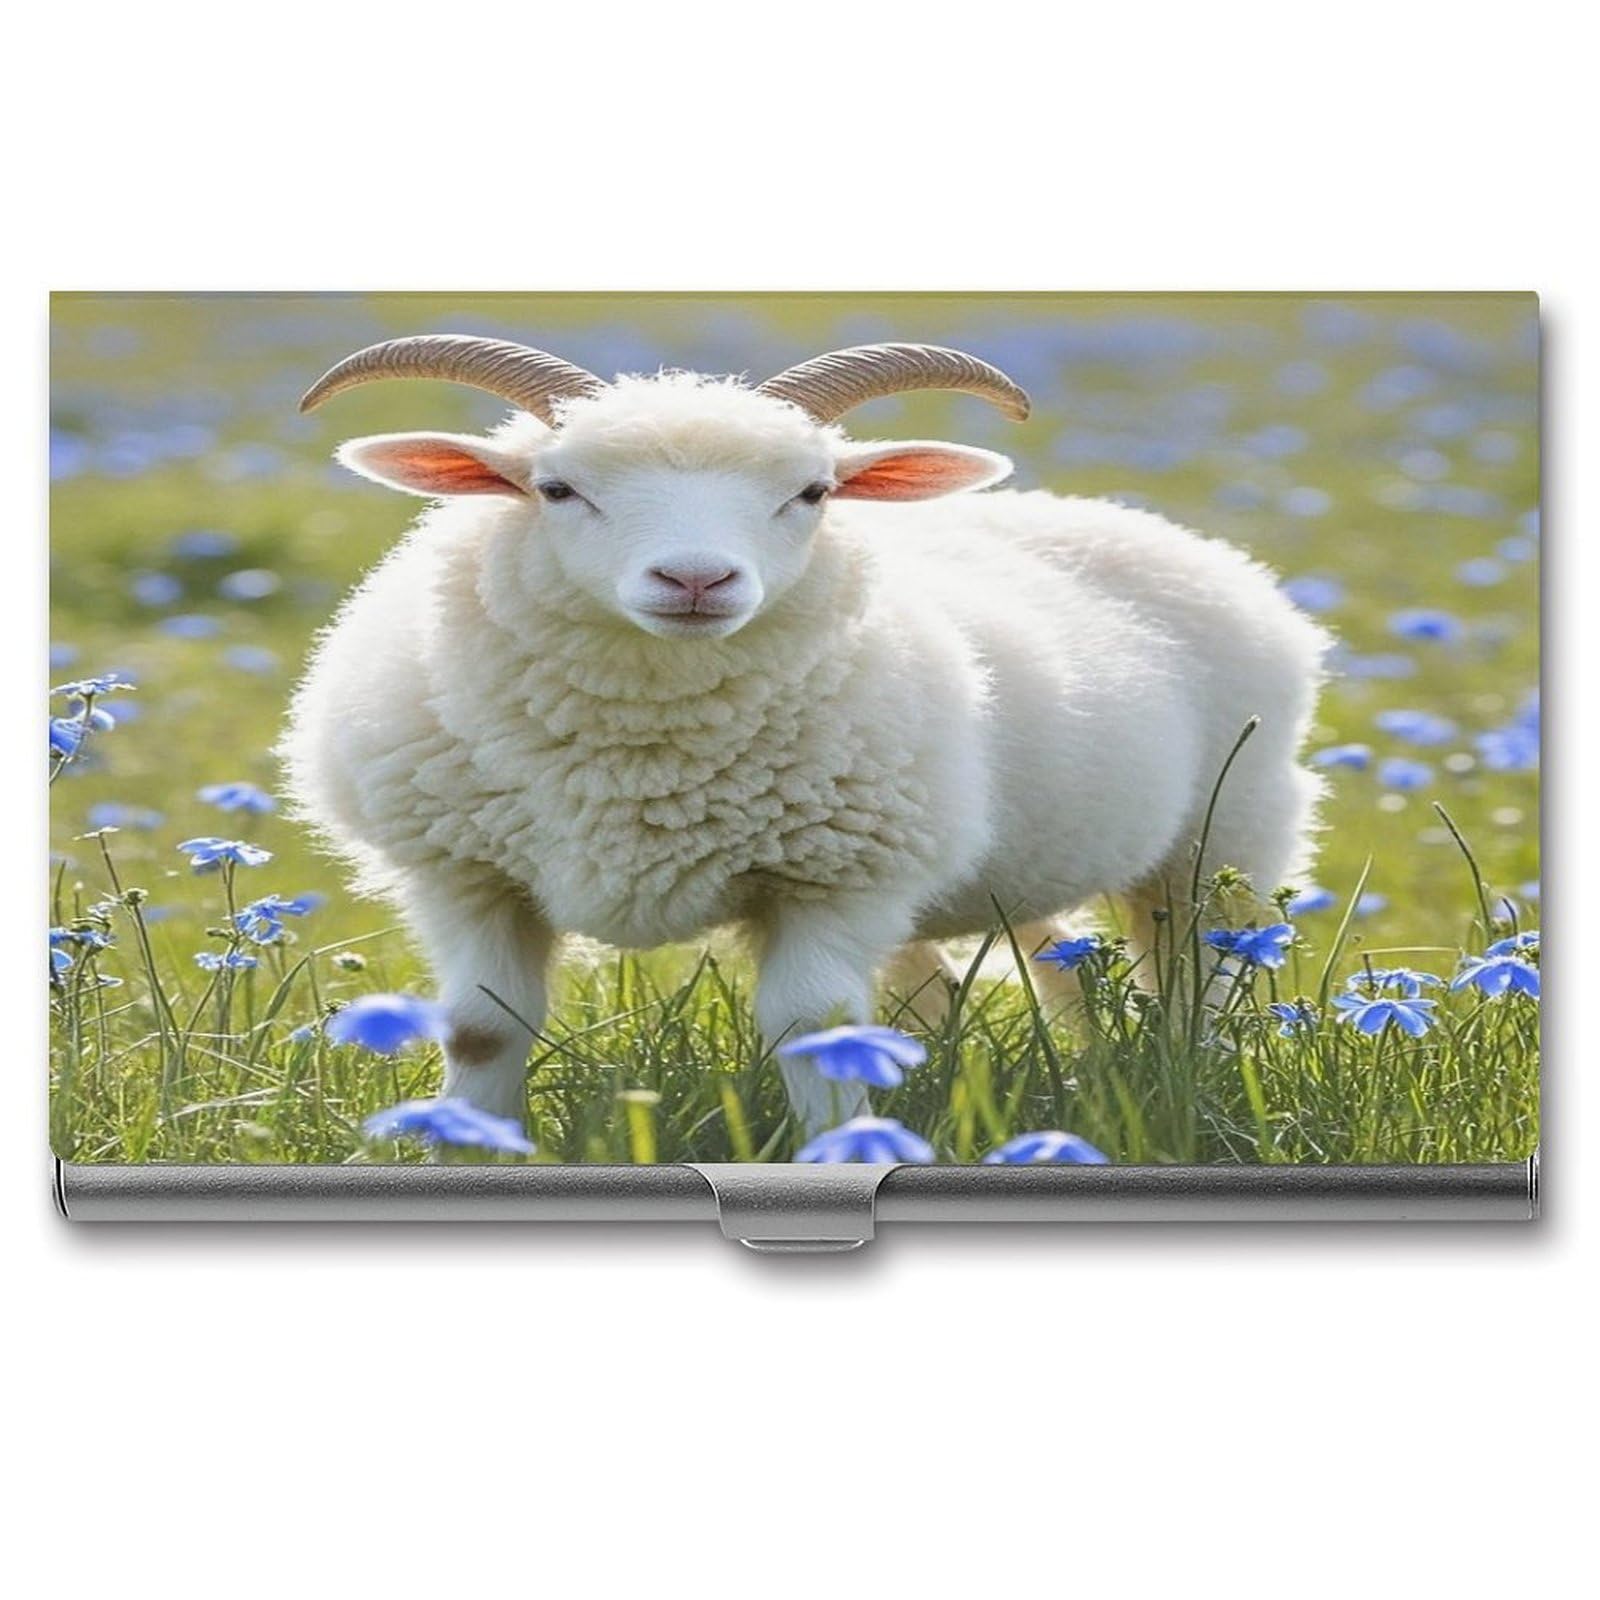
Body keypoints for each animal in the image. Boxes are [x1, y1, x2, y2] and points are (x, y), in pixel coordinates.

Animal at [281, 335, 1329, 1139]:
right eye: (557, 488)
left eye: (815, 492)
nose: (695, 580)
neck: (640, 758)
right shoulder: (464, 875)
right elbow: (482, 1029)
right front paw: (470, 1141)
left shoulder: (836, 880)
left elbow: (816, 1031)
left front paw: (838, 1150)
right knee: (1031, 969)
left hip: (1227, 834)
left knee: (1195, 983)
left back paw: (1180, 1079)